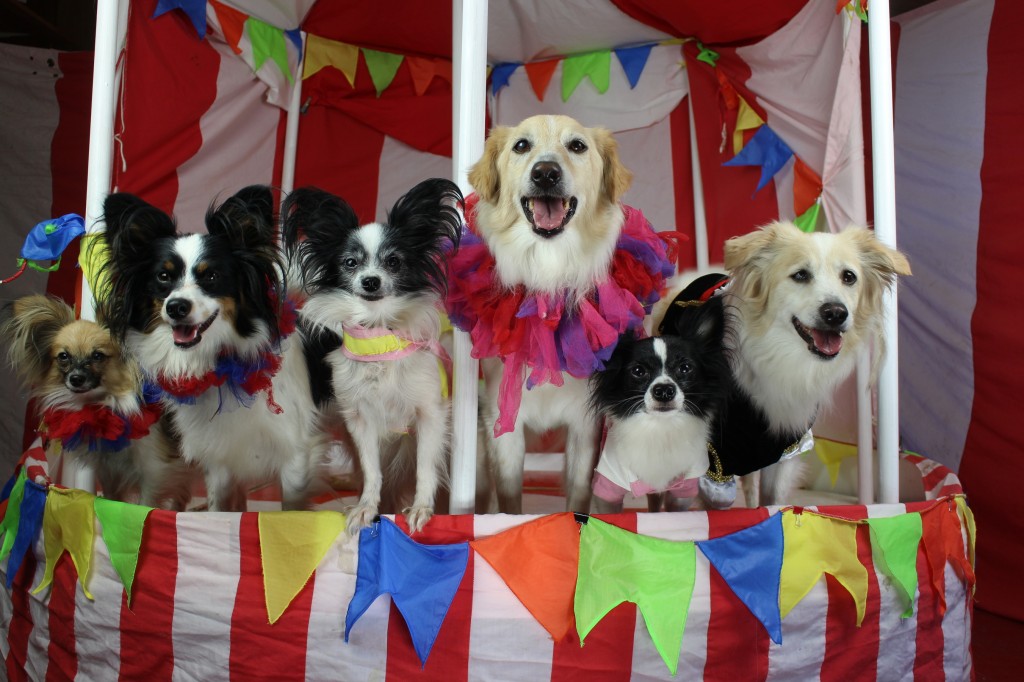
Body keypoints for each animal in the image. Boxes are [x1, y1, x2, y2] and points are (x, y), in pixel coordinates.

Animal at [97, 186, 323, 509]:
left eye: (212, 276)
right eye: (163, 277)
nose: (176, 307)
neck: (222, 363)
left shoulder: (296, 454)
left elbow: (290, 510)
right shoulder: (218, 459)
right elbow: (220, 507)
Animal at [282, 176, 462, 532]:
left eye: (393, 261)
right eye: (350, 263)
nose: (370, 281)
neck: (379, 342)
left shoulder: (430, 416)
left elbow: (426, 467)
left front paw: (422, 508)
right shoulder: (360, 421)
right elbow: (371, 470)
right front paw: (366, 507)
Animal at [589, 296, 733, 509]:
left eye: (685, 368)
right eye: (638, 371)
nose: (664, 390)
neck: (660, 428)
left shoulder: (683, 489)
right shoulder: (608, 488)